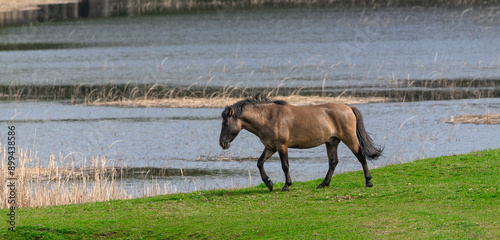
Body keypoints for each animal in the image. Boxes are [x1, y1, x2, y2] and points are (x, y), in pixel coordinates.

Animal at [219, 94, 382, 191]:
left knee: (360, 156)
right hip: (331, 142)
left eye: (225, 123)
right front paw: (269, 183)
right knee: (333, 162)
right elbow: (259, 163)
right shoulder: (270, 147)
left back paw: (368, 182)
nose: (222, 144)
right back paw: (323, 184)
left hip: (349, 139)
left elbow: (285, 165)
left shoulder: (282, 146)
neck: (269, 117)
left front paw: (286, 185)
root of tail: (348, 107)